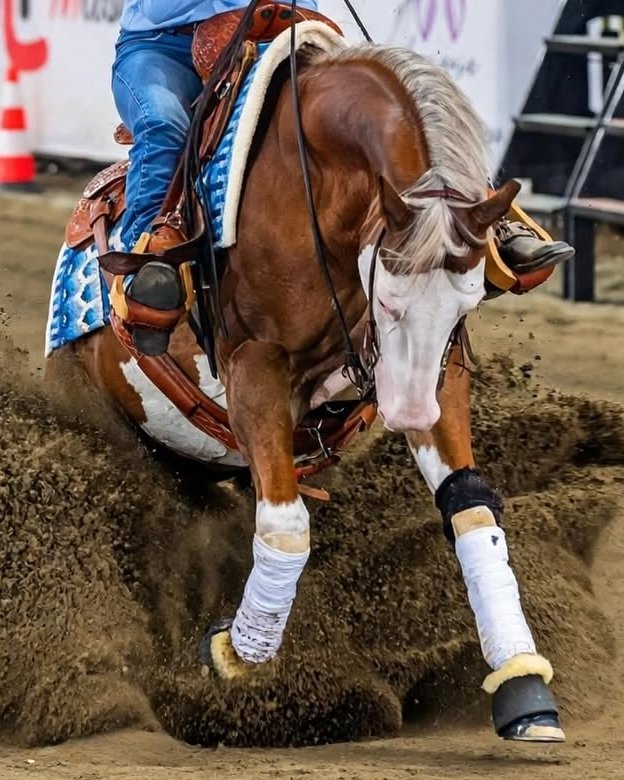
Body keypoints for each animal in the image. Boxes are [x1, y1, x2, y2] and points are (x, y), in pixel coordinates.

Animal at [45, 22, 565, 743]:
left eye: (464, 305)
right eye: (389, 300)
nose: (409, 414)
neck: (317, 189)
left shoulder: (439, 373)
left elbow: (471, 504)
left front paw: (523, 685)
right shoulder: (256, 366)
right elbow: (288, 526)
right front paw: (234, 654)